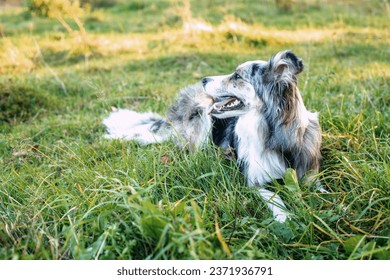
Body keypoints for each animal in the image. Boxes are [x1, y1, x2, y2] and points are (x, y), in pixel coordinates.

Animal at [103, 49, 320, 221]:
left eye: (237, 76)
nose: (204, 79)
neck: (273, 136)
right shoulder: (253, 181)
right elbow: (274, 197)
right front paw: (286, 217)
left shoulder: (309, 170)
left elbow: (318, 187)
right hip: (201, 113)